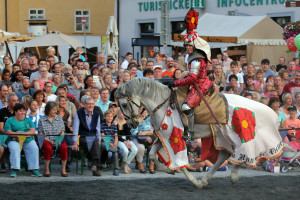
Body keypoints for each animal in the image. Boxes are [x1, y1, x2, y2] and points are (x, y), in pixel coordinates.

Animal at [116, 77, 282, 188]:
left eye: (123, 104)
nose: (131, 123)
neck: (162, 105)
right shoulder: (164, 137)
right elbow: (151, 154)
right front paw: (167, 170)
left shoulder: (175, 138)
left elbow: (181, 163)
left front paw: (192, 180)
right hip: (221, 134)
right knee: (224, 156)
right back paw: (208, 179)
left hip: (239, 134)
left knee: (244, 153)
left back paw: (229, 175)